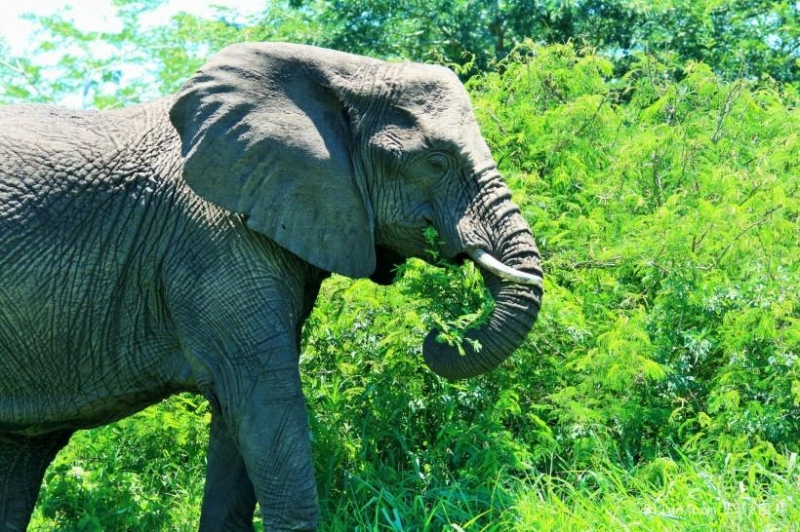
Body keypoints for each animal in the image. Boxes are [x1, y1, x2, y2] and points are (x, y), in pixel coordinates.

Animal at [0, 42, 544, 532]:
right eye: (436, 161)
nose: (436, 337)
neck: (347, 71)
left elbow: (236, 417)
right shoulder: (213, 238)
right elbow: (264, 397)